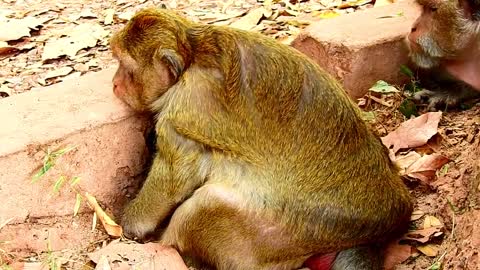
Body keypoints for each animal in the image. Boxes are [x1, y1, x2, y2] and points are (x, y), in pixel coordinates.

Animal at [110, 8, 414, 270]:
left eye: (124, 66)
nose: (114, 83)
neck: (193, 54)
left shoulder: (185, 104)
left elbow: (175, 173)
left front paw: (133, 224)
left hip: (284, 233)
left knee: (205, 204)